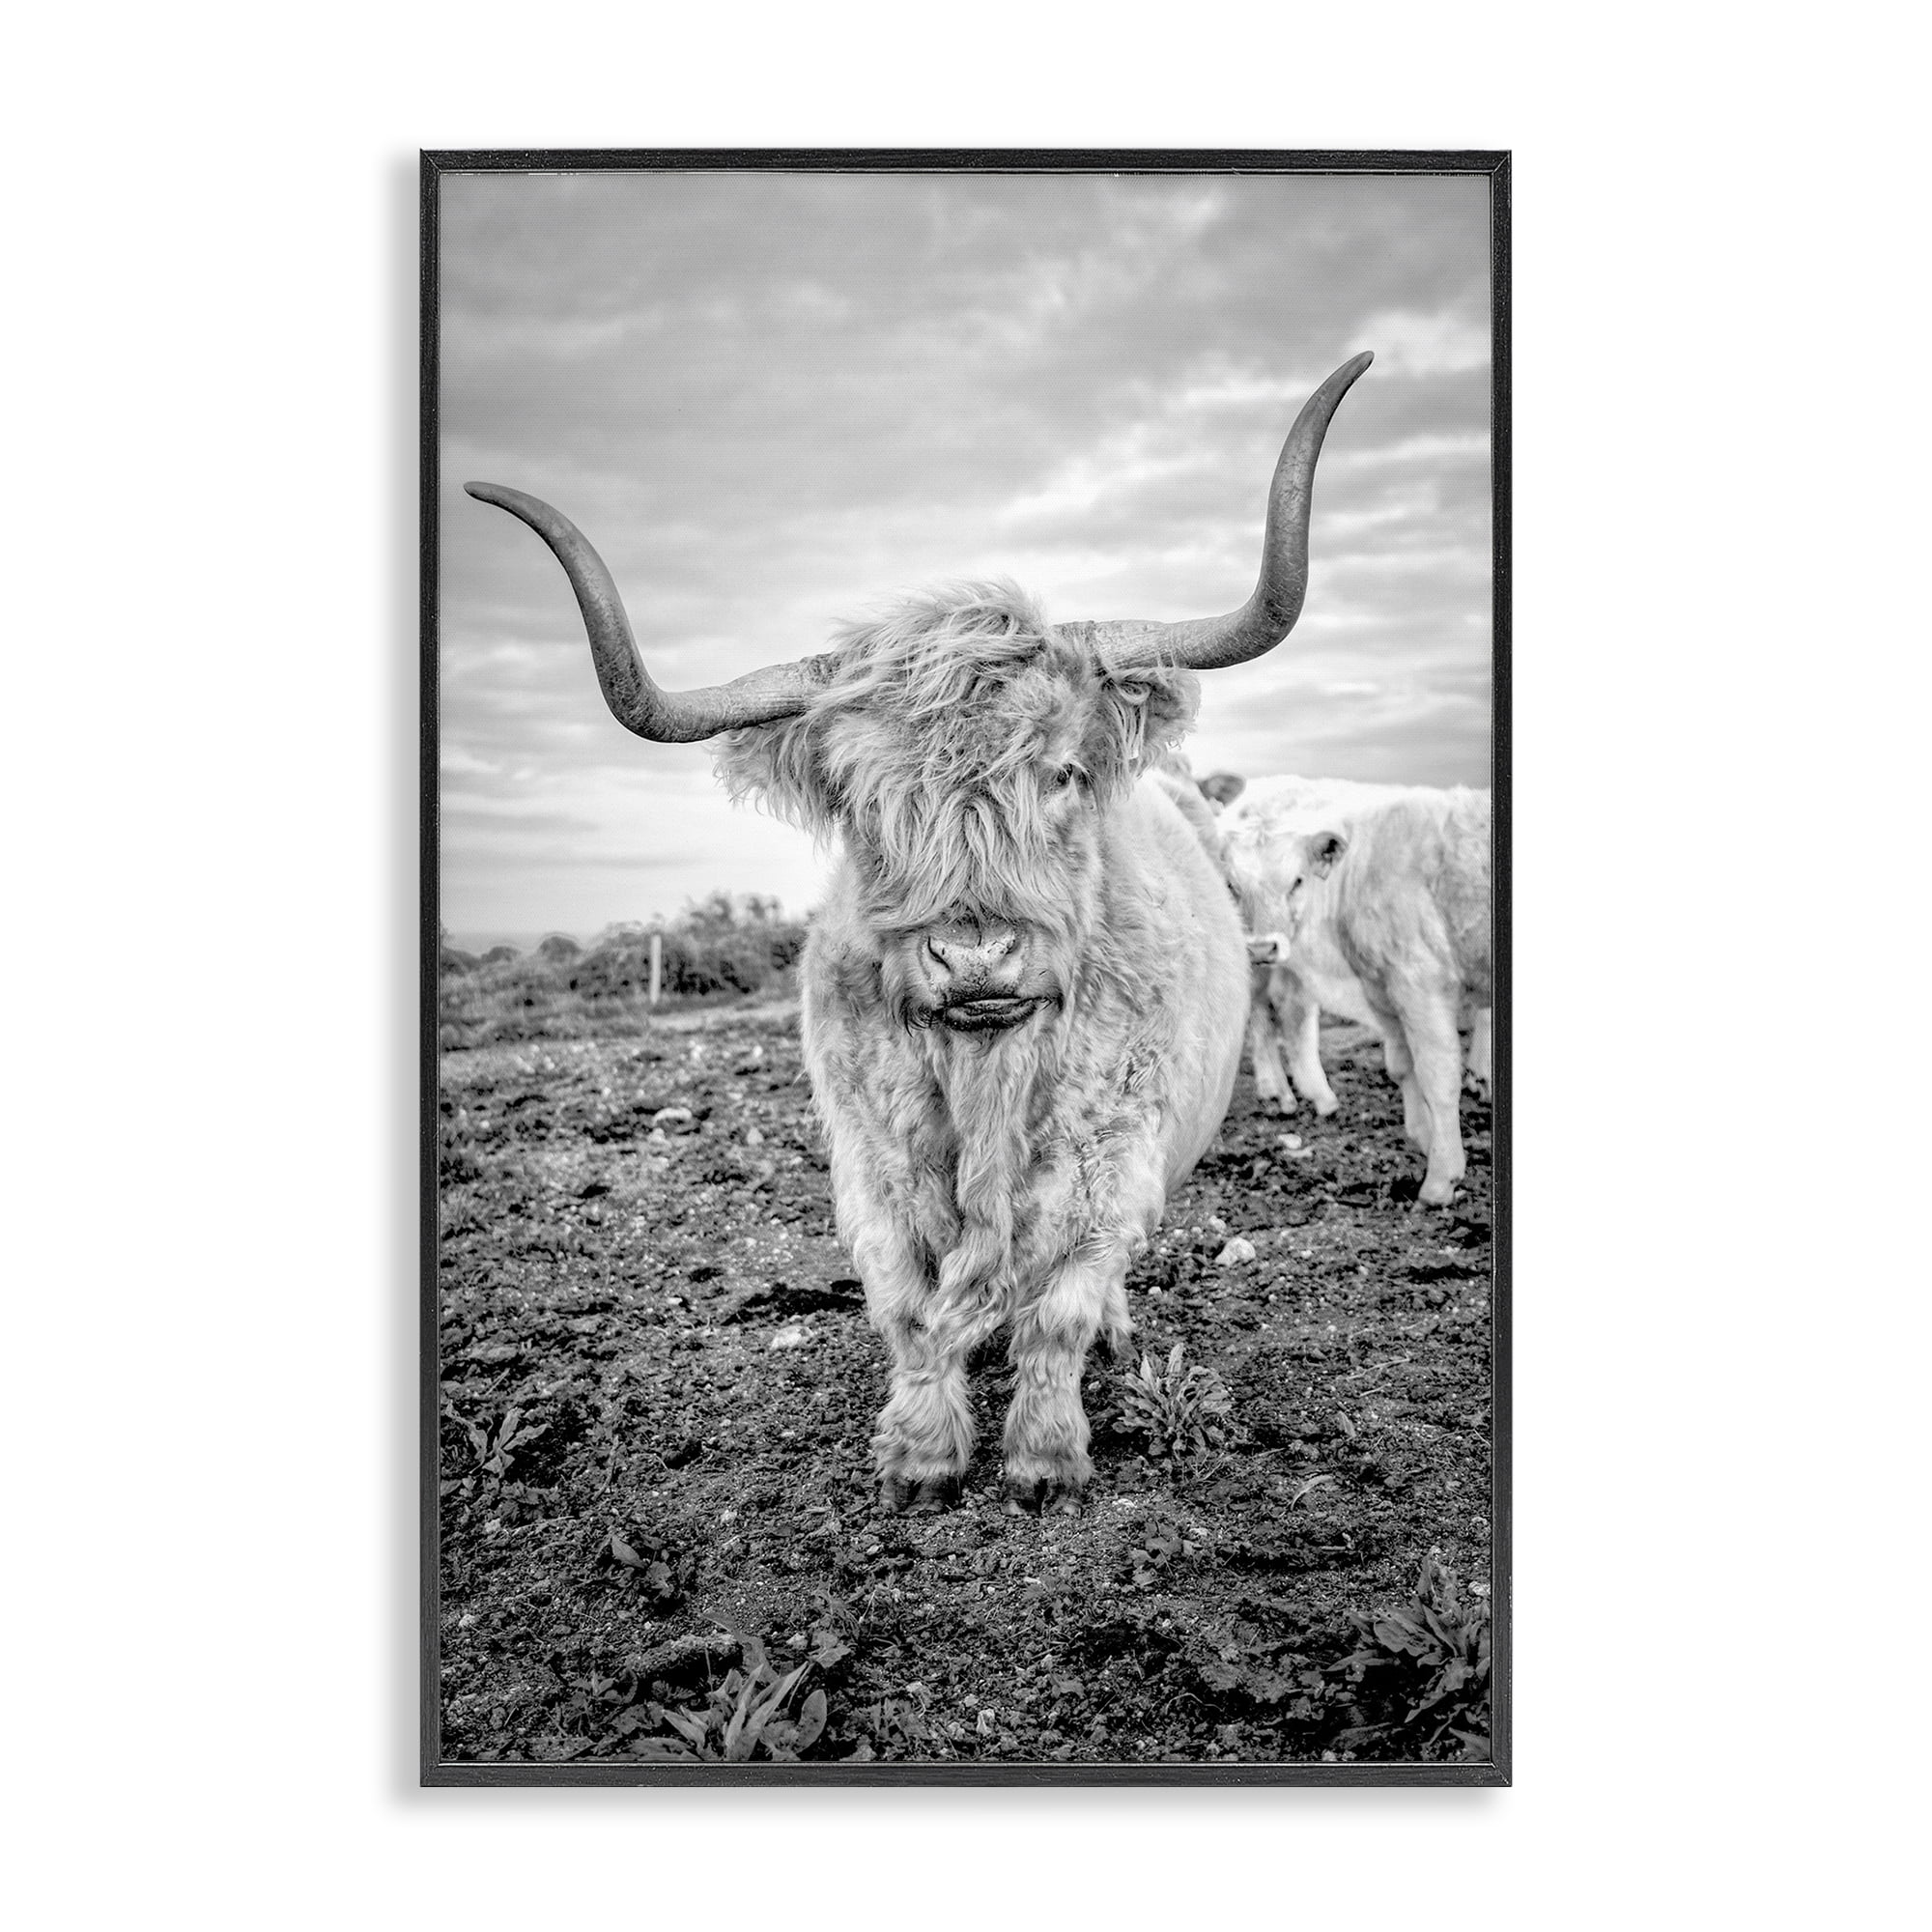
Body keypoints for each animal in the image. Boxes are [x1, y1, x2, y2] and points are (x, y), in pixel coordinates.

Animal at [464, 352, 1371, 1511]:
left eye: (1061, 771)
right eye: (861, 802)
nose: (976, 955)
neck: (985, 1074)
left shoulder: (1113, 1161)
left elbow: (1059, 1309)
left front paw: (1042, 1459)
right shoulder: (869, 1164)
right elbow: (905, 1309)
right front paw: (920, 1455)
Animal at [1218, 777, 1492, 1206]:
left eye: (1297, 881)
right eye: (1233, 886)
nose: (1262, 948)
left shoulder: (1417, 982)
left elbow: (1436, 1075)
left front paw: (1440, 1177)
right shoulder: (1388, 987)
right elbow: (1403, 1066)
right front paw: (1428, 1141)